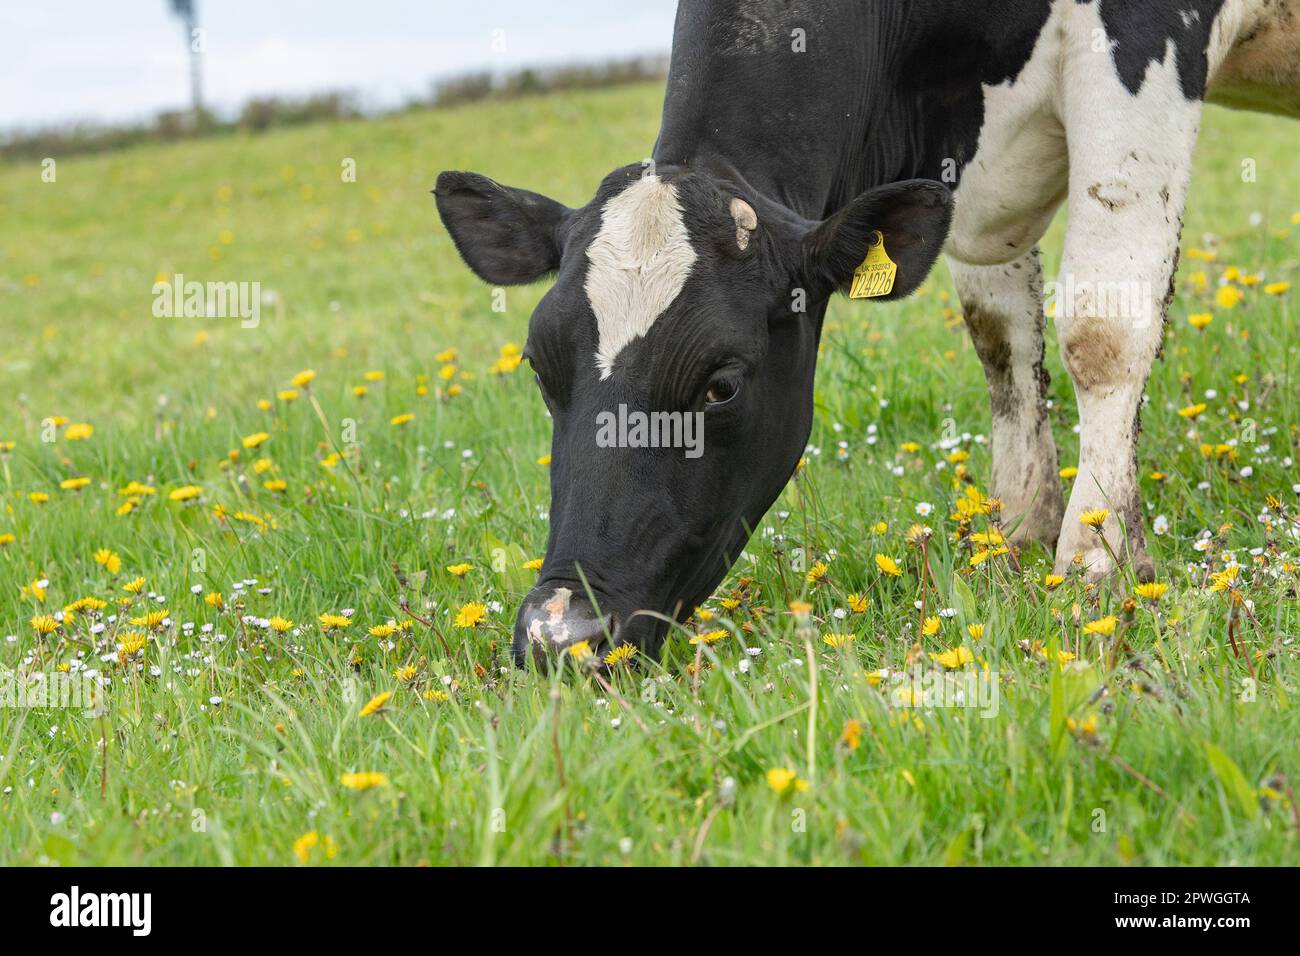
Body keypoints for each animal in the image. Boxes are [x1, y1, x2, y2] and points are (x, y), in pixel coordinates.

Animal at [436, 0, 1300, 671]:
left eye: (721, 384)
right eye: (541, 368)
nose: (559, 636)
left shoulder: (1142, 44)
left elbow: (1102, 330)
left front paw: (1099, 563)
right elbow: (1000, 339)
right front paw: (1020, 531)